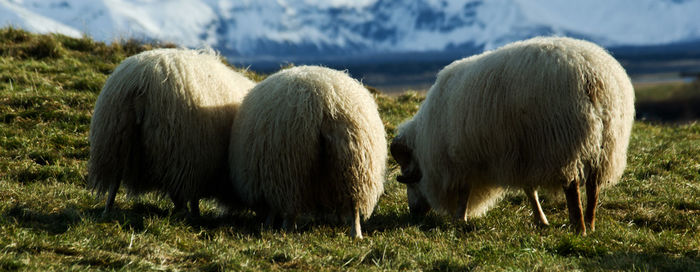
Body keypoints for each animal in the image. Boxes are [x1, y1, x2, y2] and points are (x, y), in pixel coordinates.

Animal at [87, 47, 256, 216]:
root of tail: (140, 82)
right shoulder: (199, 165)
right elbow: (193, 197)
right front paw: (196, 214)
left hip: (114, 140)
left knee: (114, 181)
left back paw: (107, 211)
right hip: (176, 151)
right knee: (176, 191)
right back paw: (185, 214)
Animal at [232, 65, 388, 238]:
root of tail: (326, 103)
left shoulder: (270, 180)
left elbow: (273, 208)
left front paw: (268, 224)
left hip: (292, 167)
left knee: (292, 205)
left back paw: (287, 228)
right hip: (354, 163)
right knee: (354, 203)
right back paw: (356, 233)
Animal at [392, 37, 636, 235]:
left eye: (408, 174)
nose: (413, 212)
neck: (426, 139)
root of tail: (593, 77)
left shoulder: (462, 159)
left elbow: (464, 192)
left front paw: (459, 219)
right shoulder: (524, 156)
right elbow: (530, 190)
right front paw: (541, 220)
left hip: (566, 144)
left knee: (573, 187)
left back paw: (579, 227)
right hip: (606, 144)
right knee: (594, 187)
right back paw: (591, 224)